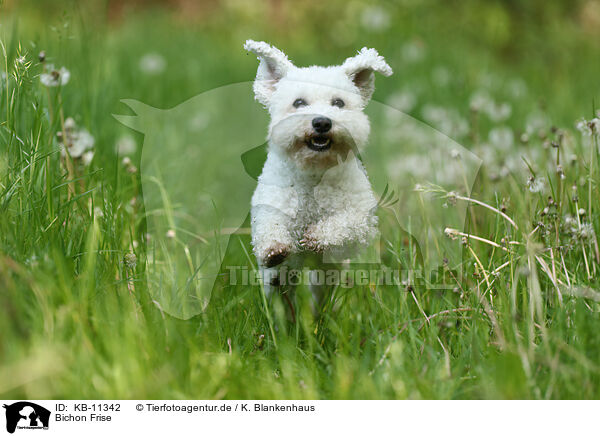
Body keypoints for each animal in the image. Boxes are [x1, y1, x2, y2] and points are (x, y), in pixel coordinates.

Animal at [245, 40, 394, 296]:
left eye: (339, 103)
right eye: (298, 102)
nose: (322, 122)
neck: (314, 171)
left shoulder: (361, 216)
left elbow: (346, 223)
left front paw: (317, 236)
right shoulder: (271, 202)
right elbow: (270, 224)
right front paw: (274, 248)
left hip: (325, 276)